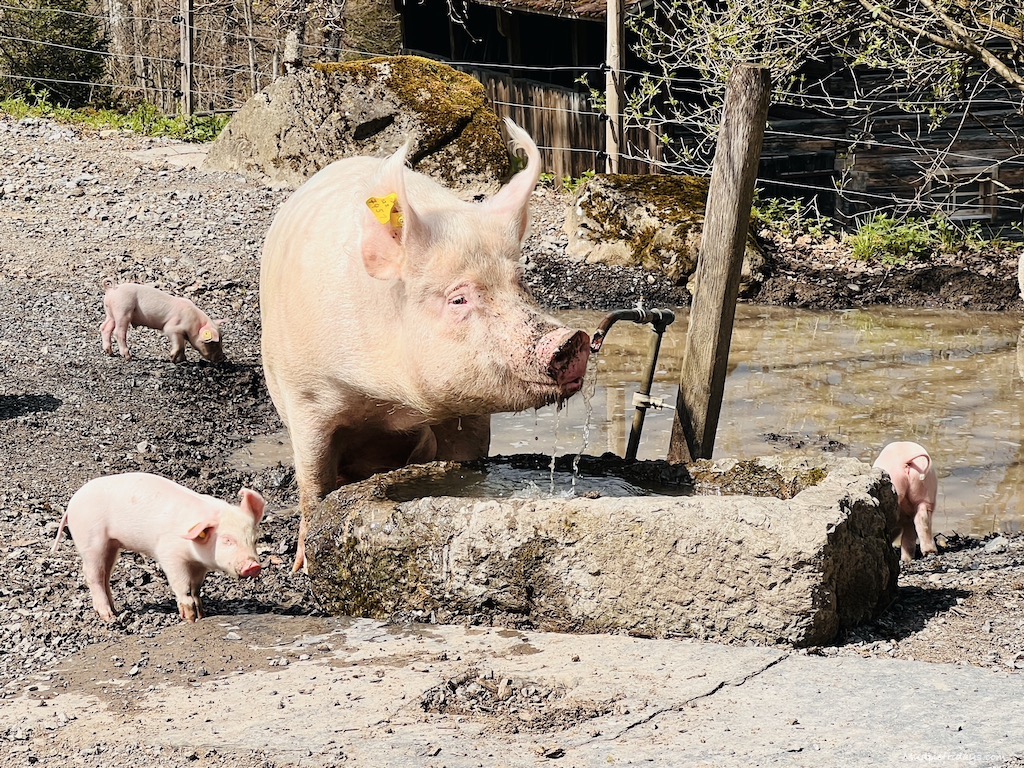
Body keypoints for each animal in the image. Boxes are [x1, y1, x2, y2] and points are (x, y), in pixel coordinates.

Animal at [52, 473, 264, 622]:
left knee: (105, 575)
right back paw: (108, 617)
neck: (194, 554)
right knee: (92, 574)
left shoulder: (199, 566)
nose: (253, 566)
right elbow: (182, 586)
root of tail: (71, 505)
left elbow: (196, 589)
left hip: (111, 545)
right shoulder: (170, 554)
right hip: (91, 540)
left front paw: (202, 614)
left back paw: (116, 610)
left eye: (254, 540)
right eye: (227, 539)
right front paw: (190, 619)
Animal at [260, 118, 591, 571]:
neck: (390, 401)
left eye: (520, 283)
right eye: (458, 299)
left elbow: (467, 460)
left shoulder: (467, 410)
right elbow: (313, 485)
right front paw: (303, 567)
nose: (573, 338)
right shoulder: (305, 394)